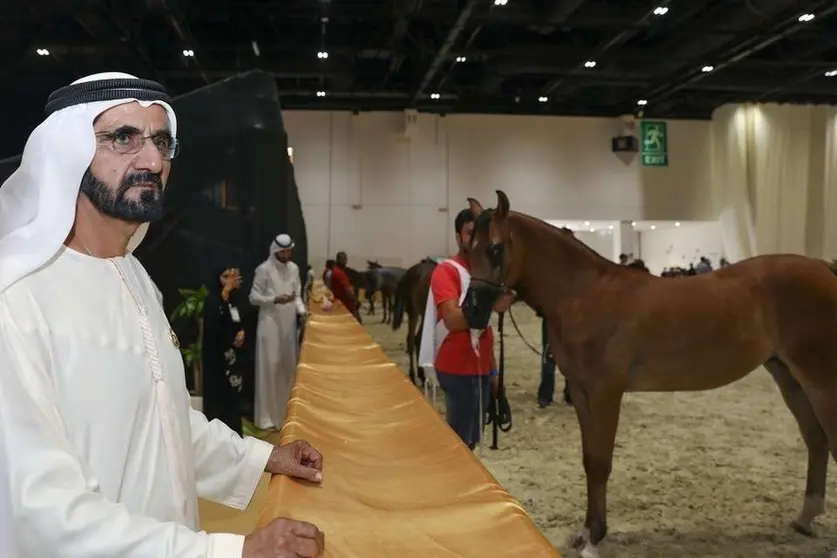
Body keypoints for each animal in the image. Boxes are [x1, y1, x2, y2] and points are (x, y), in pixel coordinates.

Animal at [464, 190, 836, 556]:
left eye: (495, 247)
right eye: (468, 248)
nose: (471, 310)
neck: (585, 294)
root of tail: (824, 268)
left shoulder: (605, 393)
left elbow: (601, 461)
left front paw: (595, 538)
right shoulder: (582, 393)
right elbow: (589, 460)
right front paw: (586, 533)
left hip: (820, 381)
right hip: (789, 377)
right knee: (816, 440)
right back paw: (805, 519)